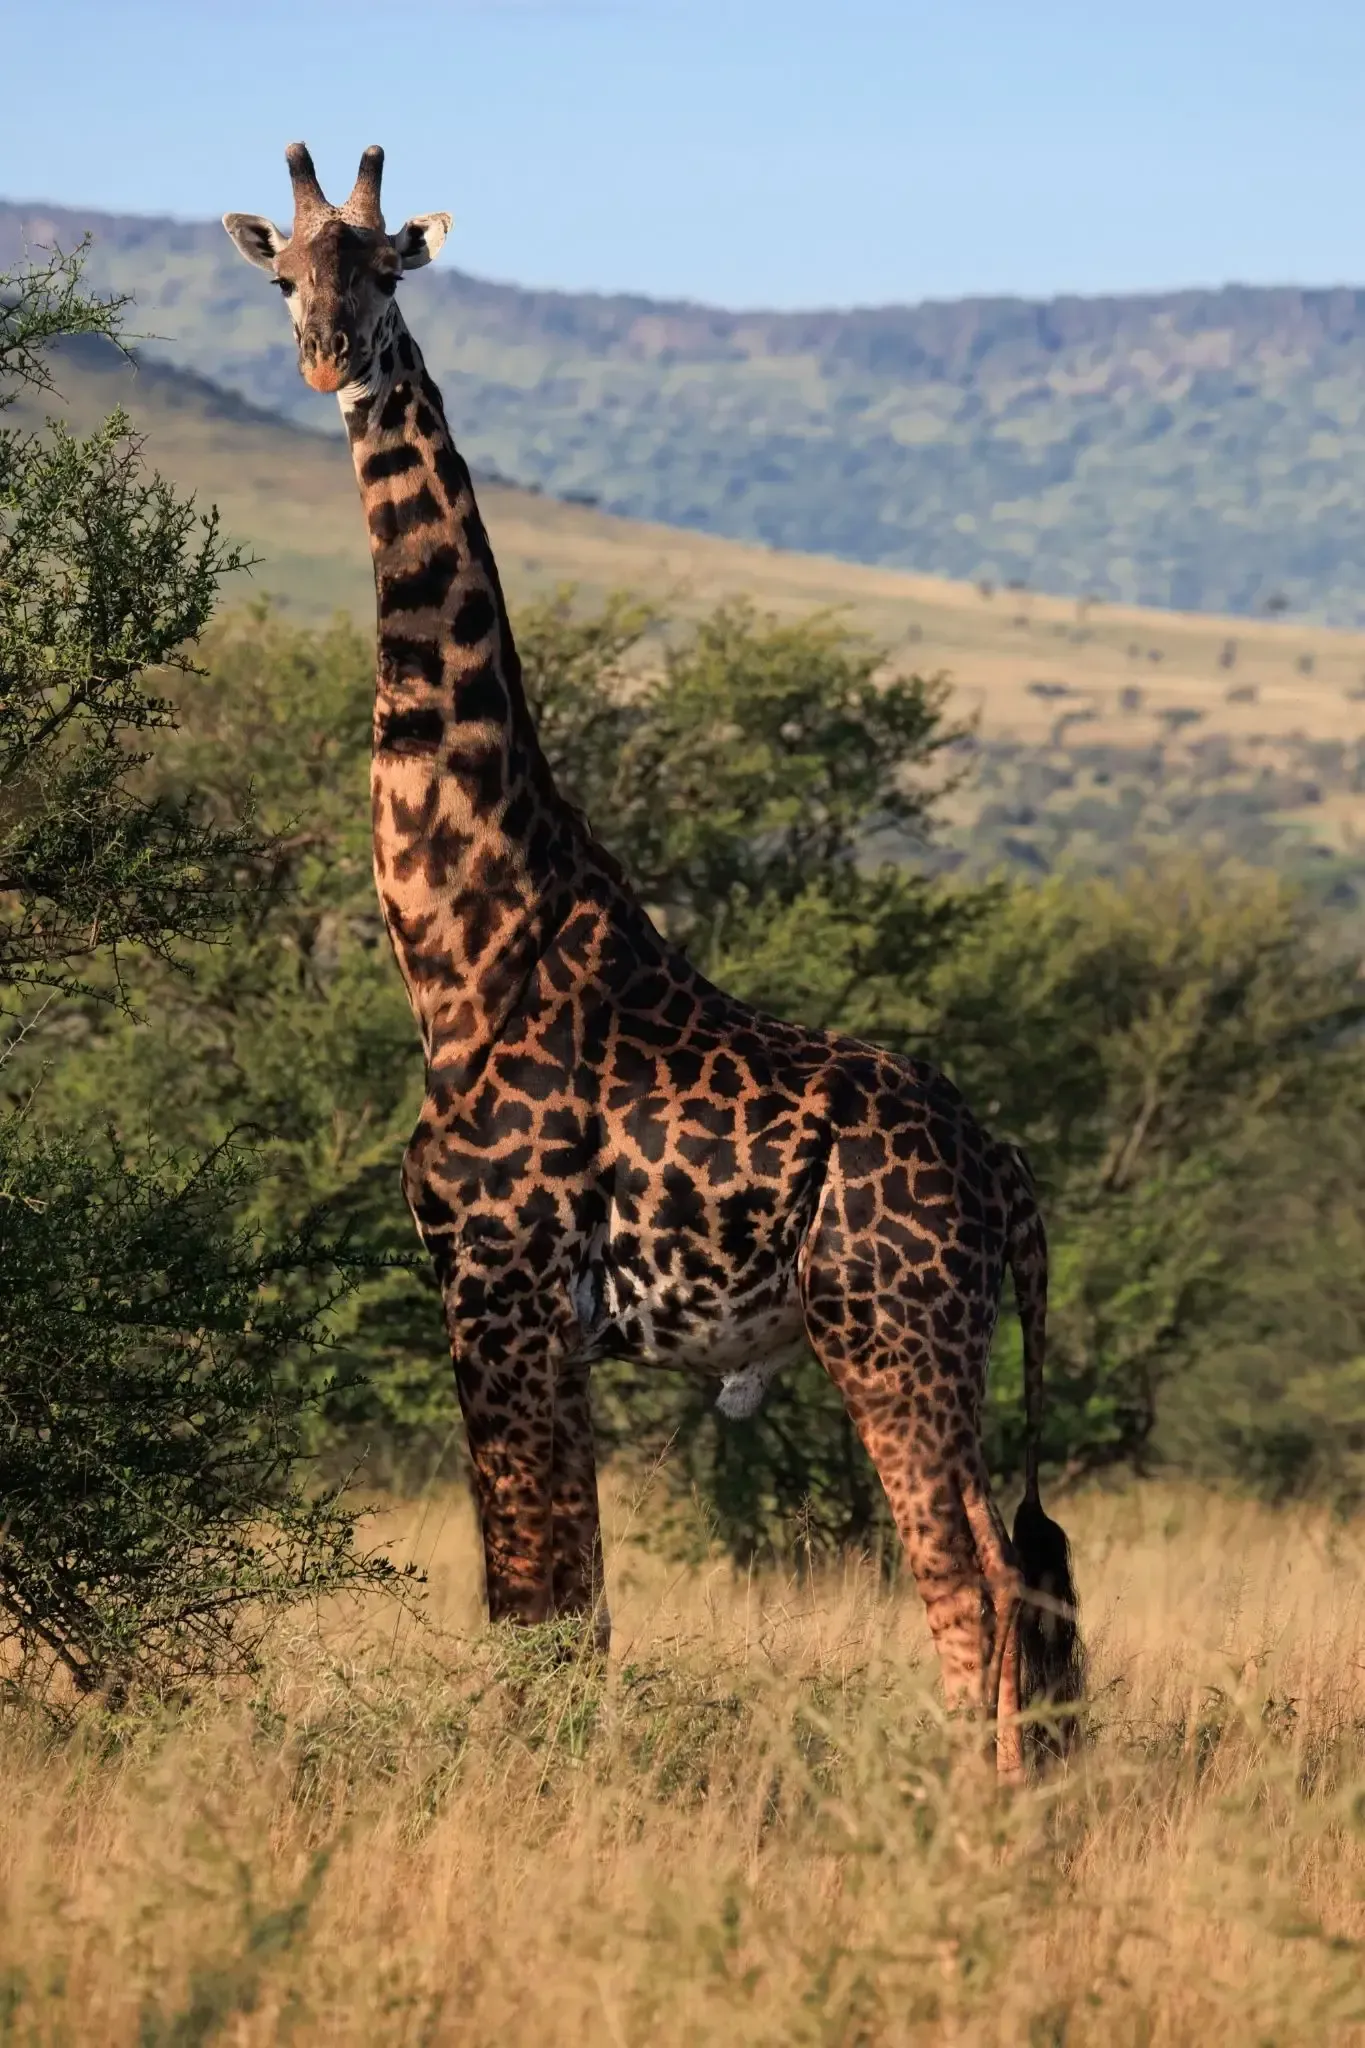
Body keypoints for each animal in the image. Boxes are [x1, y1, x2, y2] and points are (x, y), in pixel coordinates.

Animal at [224, 143, 1083, 1776]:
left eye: (386, 266)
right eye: (286, 272)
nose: (327, 358)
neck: (463, 940)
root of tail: (1011, 1177)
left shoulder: (495, 1284)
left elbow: (538, 1599)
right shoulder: (528, 1313)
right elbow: (568, 1601)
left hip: (891, 1333)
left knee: (978, 1582)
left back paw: (972, 1812)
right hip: (936, 1344)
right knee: (1033, 1576)